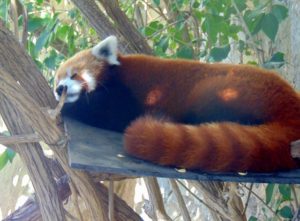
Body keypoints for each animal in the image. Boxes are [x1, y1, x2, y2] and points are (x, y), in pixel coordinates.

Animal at [55, 35, 300, 173]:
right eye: (57, 81)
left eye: (74, 75)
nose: (59, 90)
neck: (116, 73)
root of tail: (291, 102)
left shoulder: (127, 94)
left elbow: (110, 114)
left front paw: (70, 107)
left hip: (225, 90)